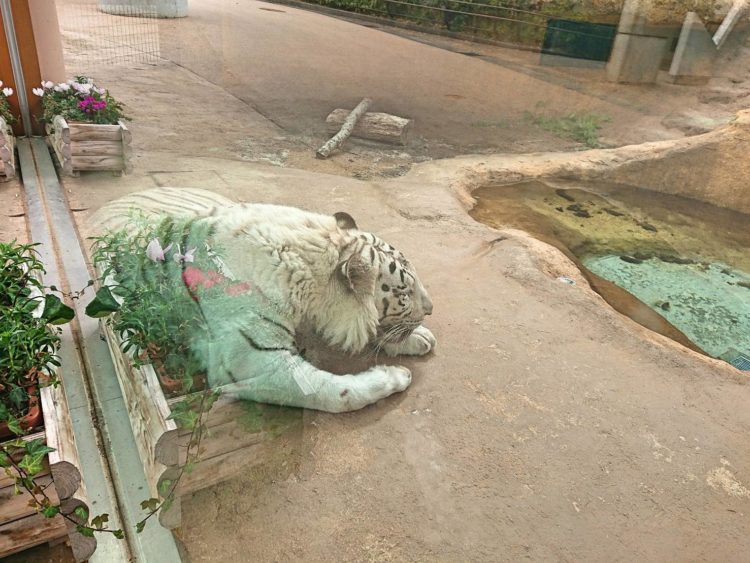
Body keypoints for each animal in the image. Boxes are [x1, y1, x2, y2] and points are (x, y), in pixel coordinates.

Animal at [90, 187, 438, 412]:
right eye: (404, 291)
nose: (431, 309)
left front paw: (418, 338)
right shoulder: (256, 360)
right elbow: (334, 394)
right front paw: (393, 377)